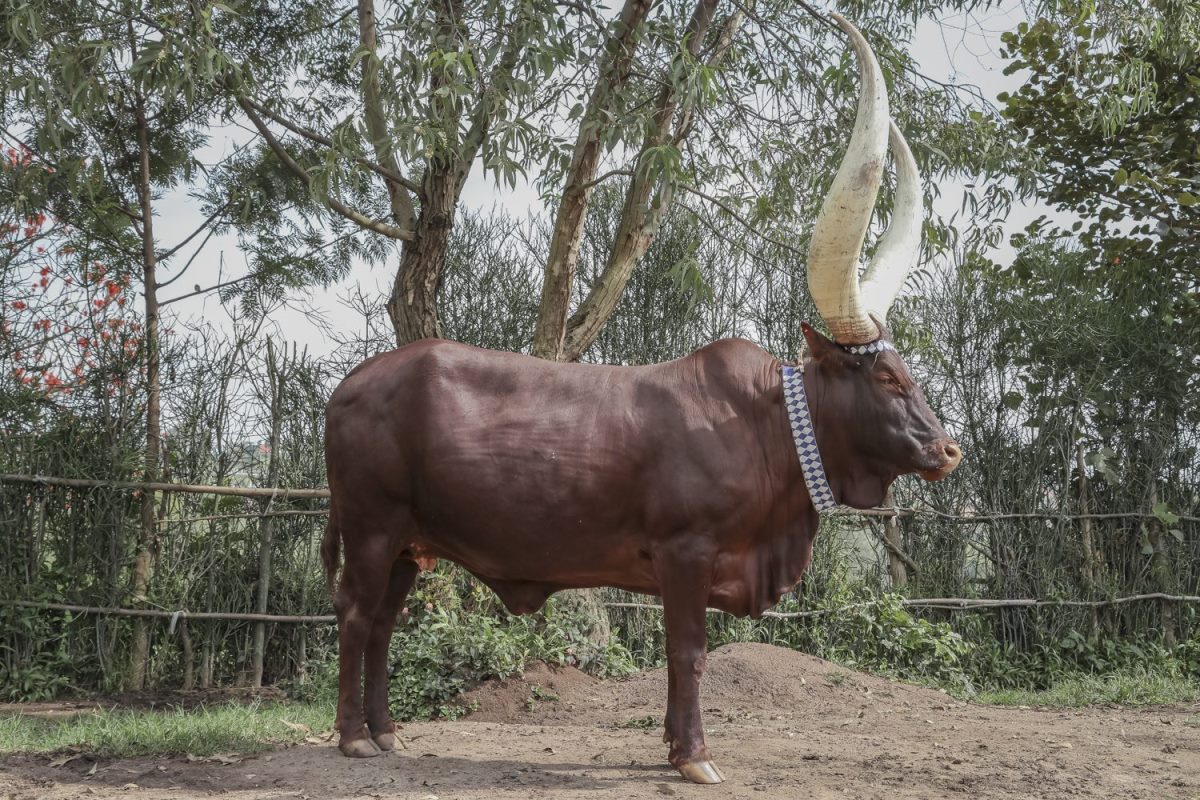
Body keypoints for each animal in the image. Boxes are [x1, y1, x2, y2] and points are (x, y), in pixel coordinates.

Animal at [319, 14, 955, 786]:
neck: (767, 425)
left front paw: (674, 747)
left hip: (410, 543)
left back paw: (387, 733)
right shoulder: (686, 553)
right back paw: (353, 738)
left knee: (383, 622)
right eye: (886, 378)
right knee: (356, 616)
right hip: (372, 526)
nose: (948, 448)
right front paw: (695, 757)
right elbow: (689, 653)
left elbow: (682, 659)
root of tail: (351, 385)